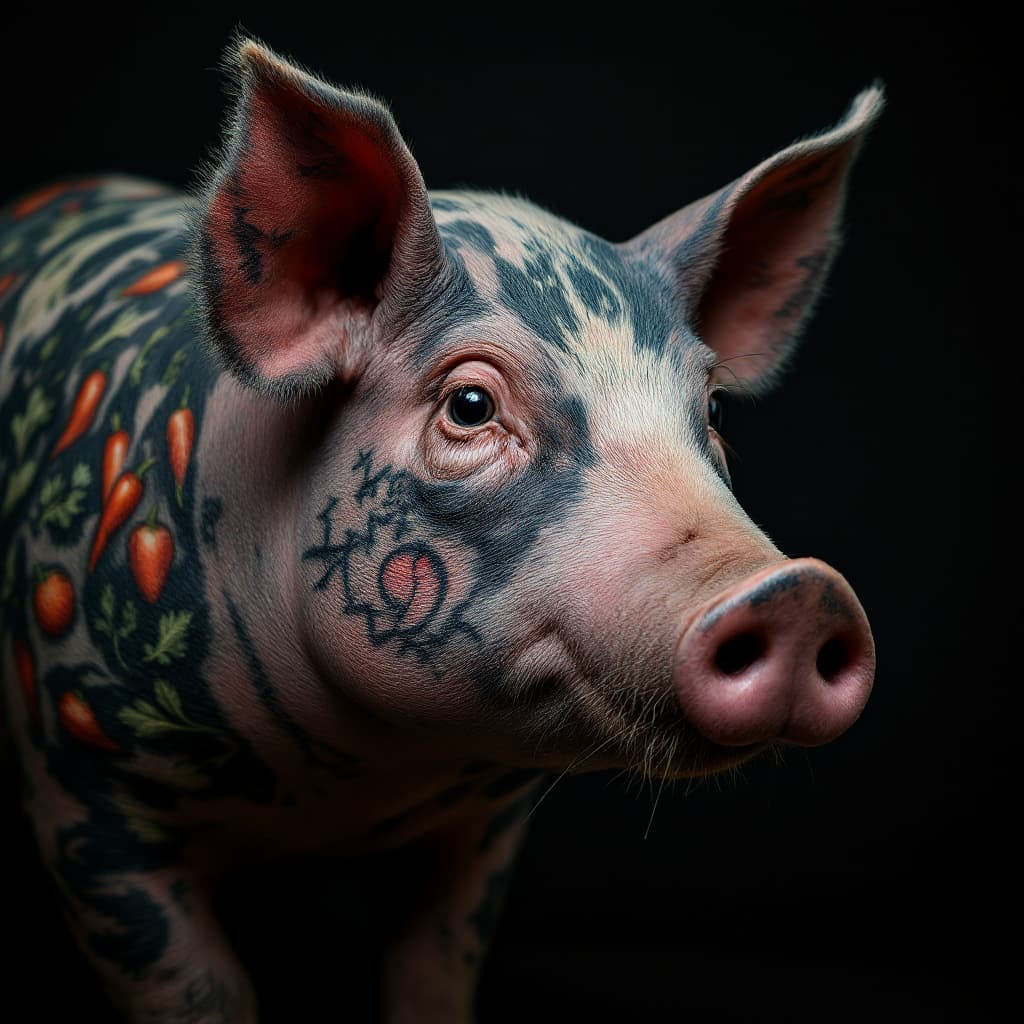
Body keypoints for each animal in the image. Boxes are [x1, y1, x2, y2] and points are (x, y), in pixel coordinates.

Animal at [0, 33, 881, 1024]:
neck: (333, 790)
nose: (800, 590)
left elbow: (432, 971)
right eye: (469, 405)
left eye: (716, 409)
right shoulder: (80, 793)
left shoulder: (478, 832)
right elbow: (196, 989)